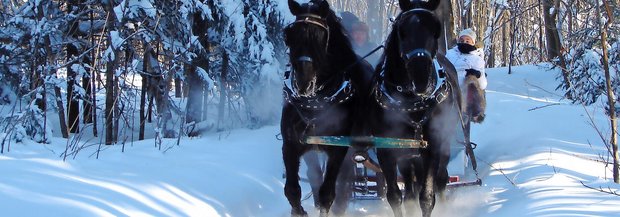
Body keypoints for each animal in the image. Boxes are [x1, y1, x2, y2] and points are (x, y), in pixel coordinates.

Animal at [280, 0, 372, 216]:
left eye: (321, 38)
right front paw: (299, 211)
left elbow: (328, 193)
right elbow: (293, 190)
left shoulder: (338, 150)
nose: (303, 83)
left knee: (343, 184)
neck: (316, 102)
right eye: (289, 35)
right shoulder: (291, 145)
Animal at [368, 0, 460, 216]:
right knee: (410, 189)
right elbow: (395, 196)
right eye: (402, 31)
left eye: (435, 30)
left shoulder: (432, 147)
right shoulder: (386, 149)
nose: (420, 78)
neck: (410, 102)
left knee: (441, 179)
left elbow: (427, 197)